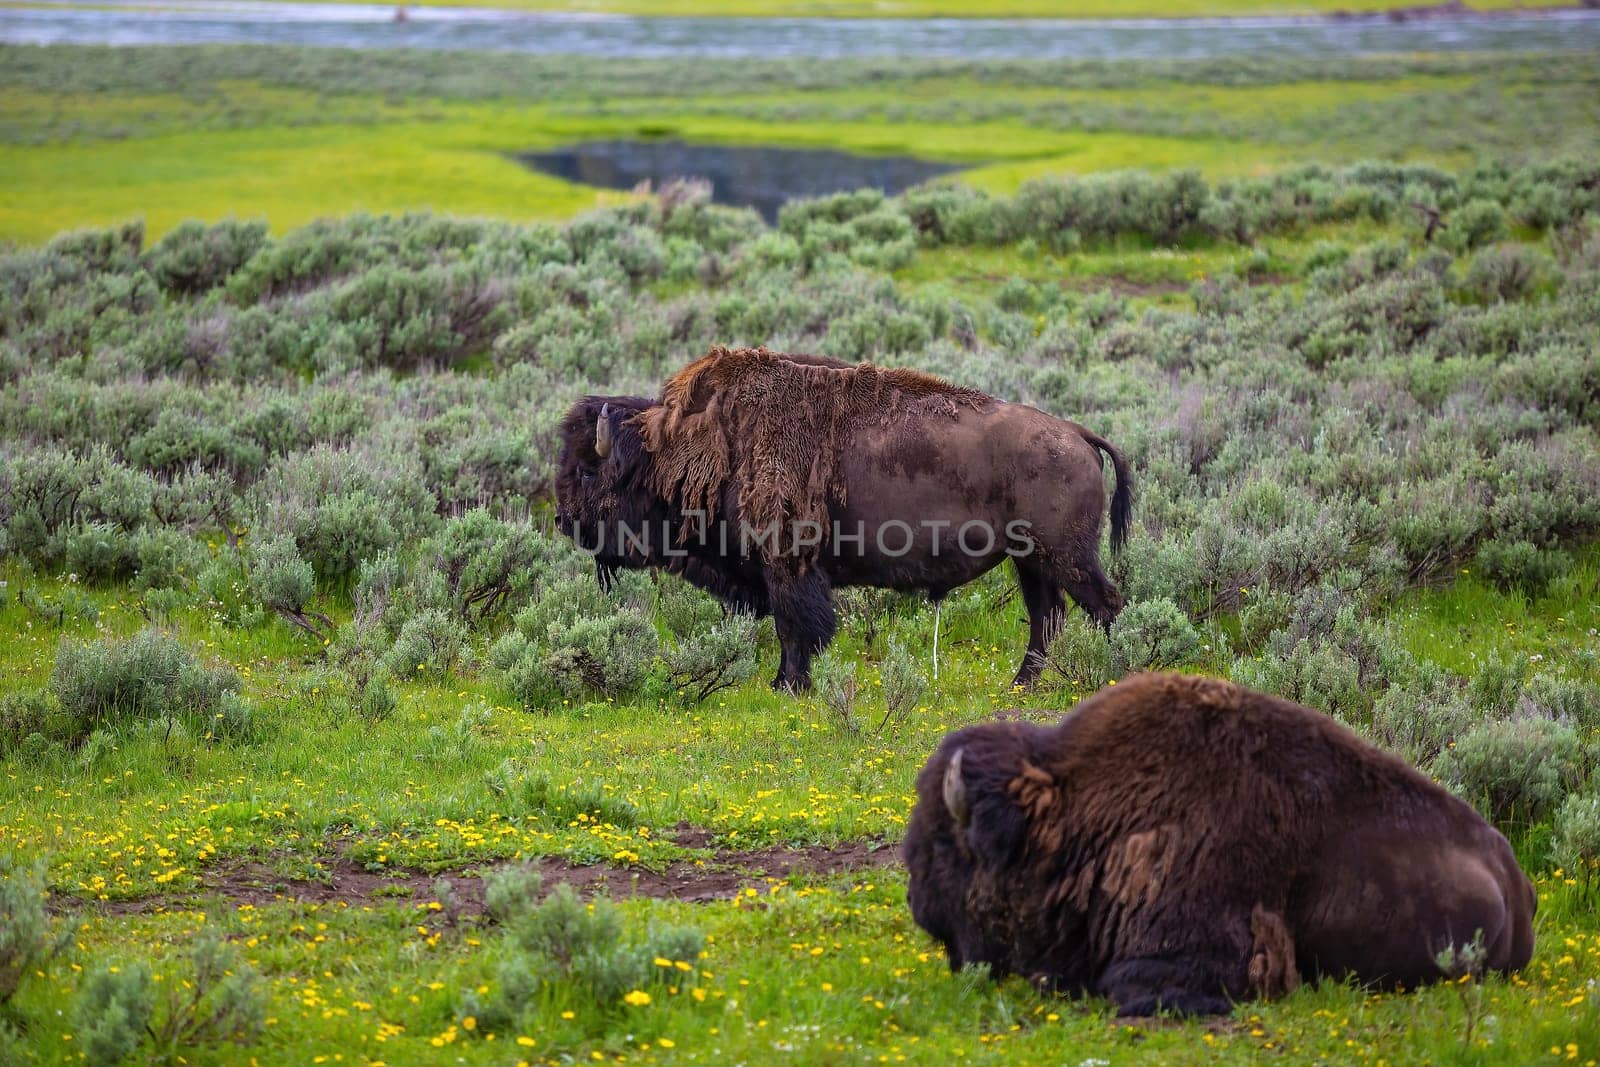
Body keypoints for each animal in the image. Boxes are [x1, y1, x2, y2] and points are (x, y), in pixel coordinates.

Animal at [556, 343, 1132, 694]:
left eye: (587, 470)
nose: (563, 520)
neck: (695, 442)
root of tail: (1078, 435)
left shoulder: (788, 564)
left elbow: (795, 626)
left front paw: (790, 686)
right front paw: (785, 684)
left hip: (1065, 555)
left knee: (1103, 605)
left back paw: (1111, 675)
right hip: (1031, 561)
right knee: (1047, 618)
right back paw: (1020, 684)